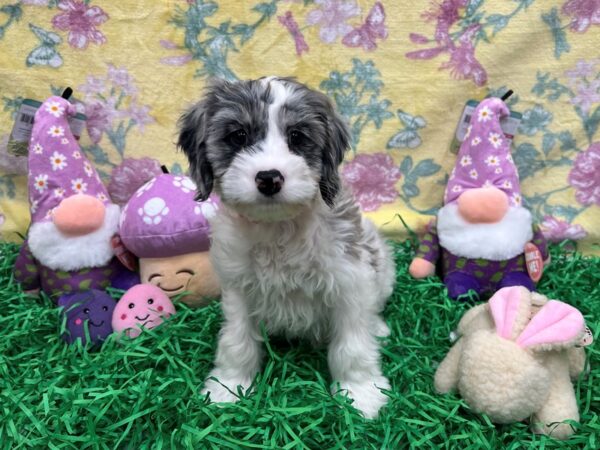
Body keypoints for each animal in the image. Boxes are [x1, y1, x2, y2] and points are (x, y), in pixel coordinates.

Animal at [176, 75, 396, 416]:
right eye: (239, 136)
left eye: (297, 136)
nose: (269, 177)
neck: (278, 229)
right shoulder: (238, 289)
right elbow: (236, 341)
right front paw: (228, 386)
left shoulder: (351, 281)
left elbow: (353, 345)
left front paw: (360, 393)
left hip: (383, 267)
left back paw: (378, 328)